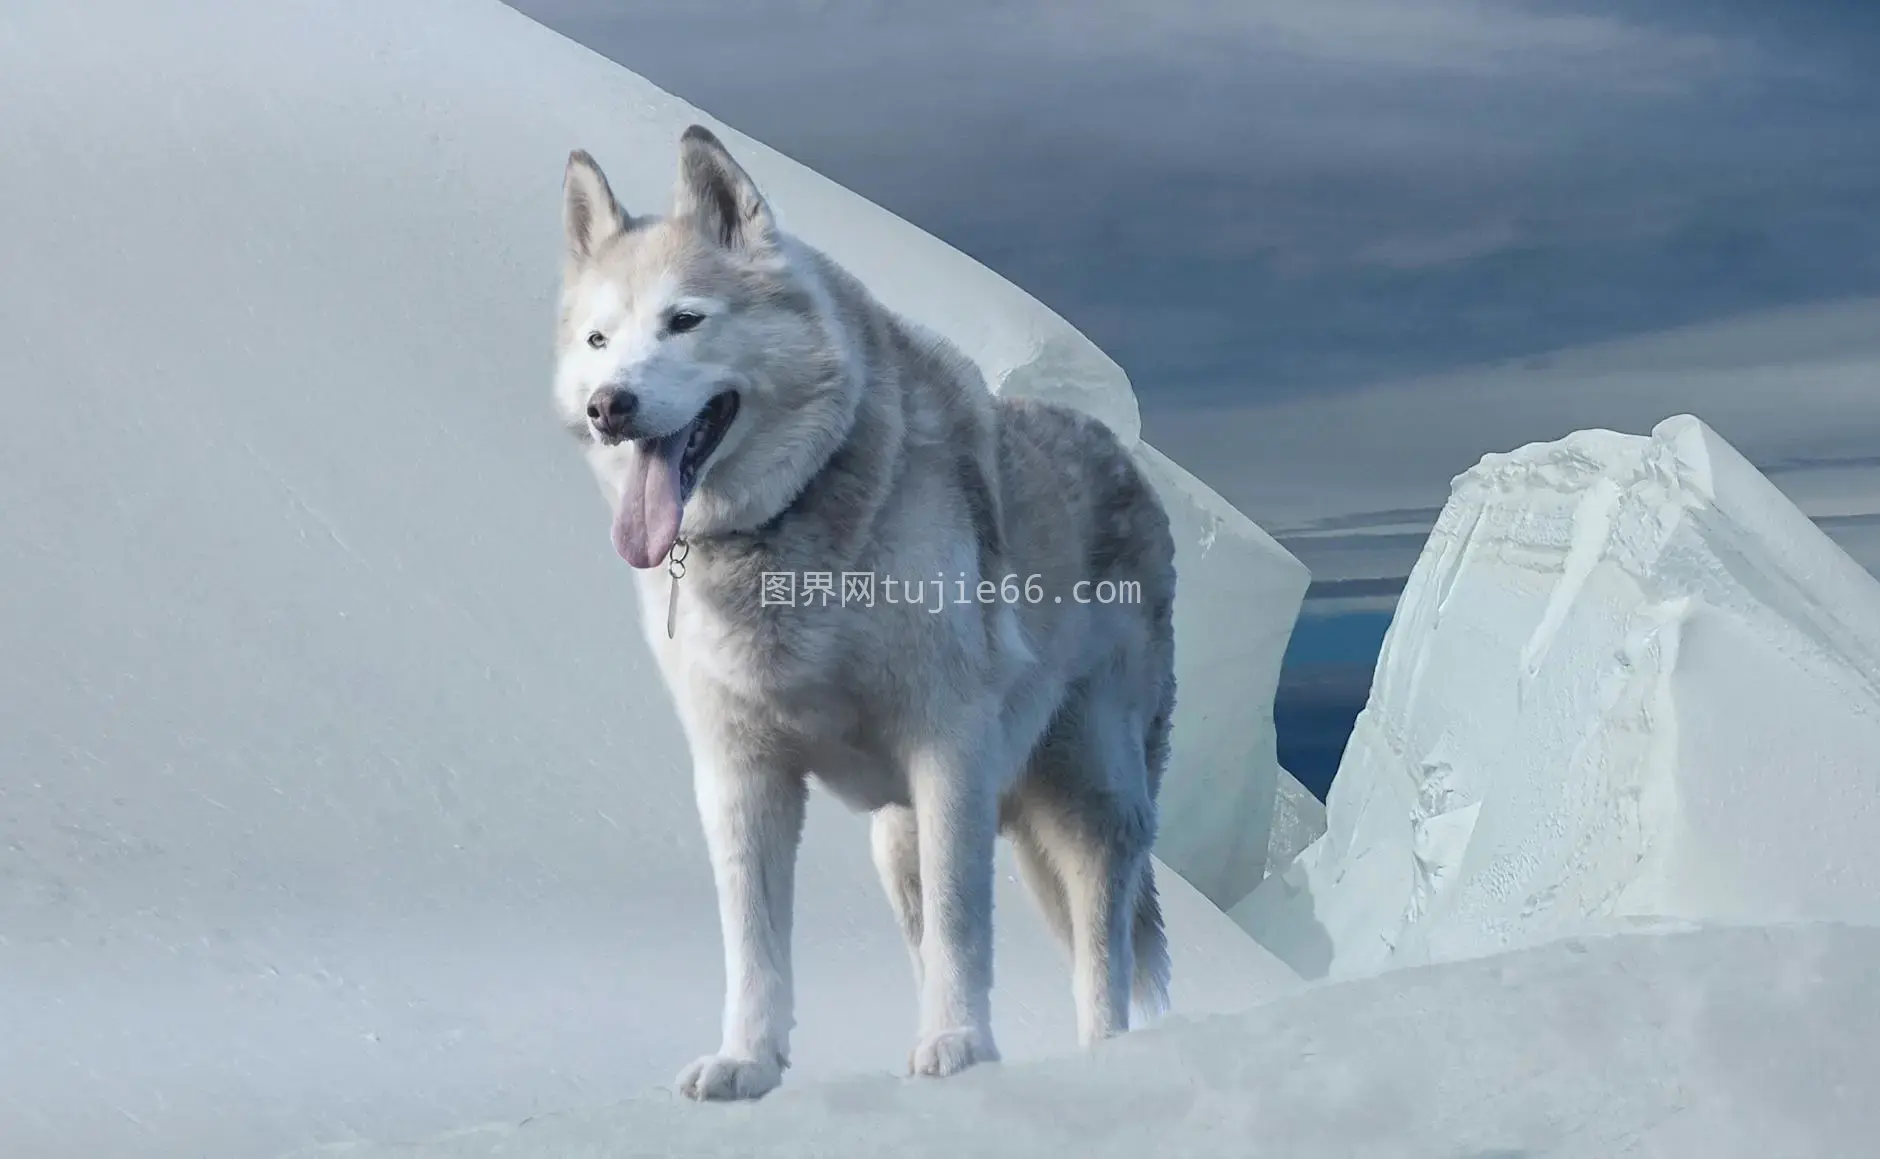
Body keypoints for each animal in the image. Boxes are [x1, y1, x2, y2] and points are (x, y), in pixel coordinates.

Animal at [552, 127, 1173, 1106]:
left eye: (685, 321)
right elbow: (754, 941)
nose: (609, 406)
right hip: (898, 835)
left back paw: (1099, 1053)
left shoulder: (947, 744)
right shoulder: (740, 772)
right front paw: (748, 1061)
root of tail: (1122, 453)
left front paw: (960, 1043)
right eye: (599, 338)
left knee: (1099, 949)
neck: (782, 534)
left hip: (1090, 797)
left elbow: (964, 921)